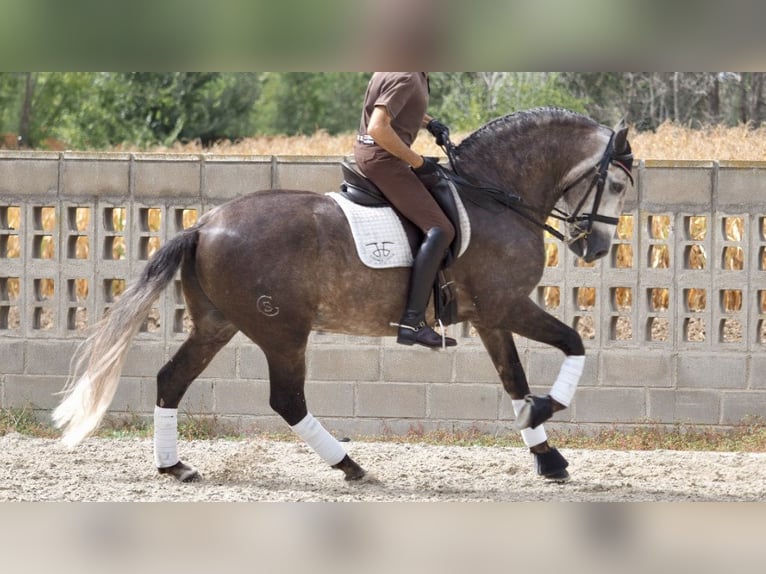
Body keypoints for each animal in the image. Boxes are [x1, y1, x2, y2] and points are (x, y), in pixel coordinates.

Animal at [51, 108, 632, 486]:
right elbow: (573, 343)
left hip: (217, 324)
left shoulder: (491, 317)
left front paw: (546, 455)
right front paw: (545, 409)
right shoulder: (506, 305)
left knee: (172, 379)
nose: (596, 247)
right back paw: (350, 466)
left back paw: (174, 466)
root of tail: (204, 225)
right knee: (287, 401)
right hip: (283, 333)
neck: (495, 197)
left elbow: (514, 378)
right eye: (620, 186)